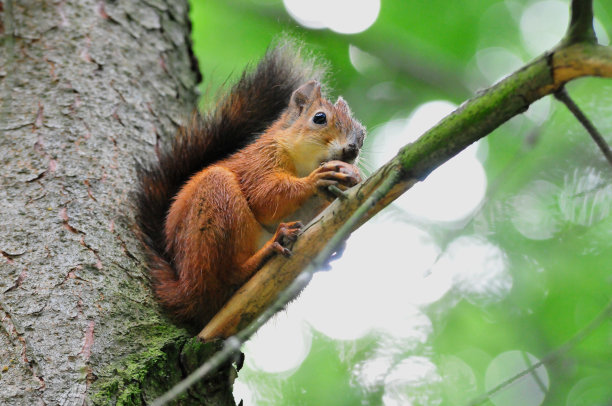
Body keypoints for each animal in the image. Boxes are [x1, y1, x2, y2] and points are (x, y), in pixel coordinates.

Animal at [136, 42, 366, 328]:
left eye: (362, 134)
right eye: (319, 118)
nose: (352, 149)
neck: (303, 162)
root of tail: (185, 291)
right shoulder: (260, 161)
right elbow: (264, 197)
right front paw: (315, 180)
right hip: (213, 208)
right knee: (226, 278)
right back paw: (267, 250)